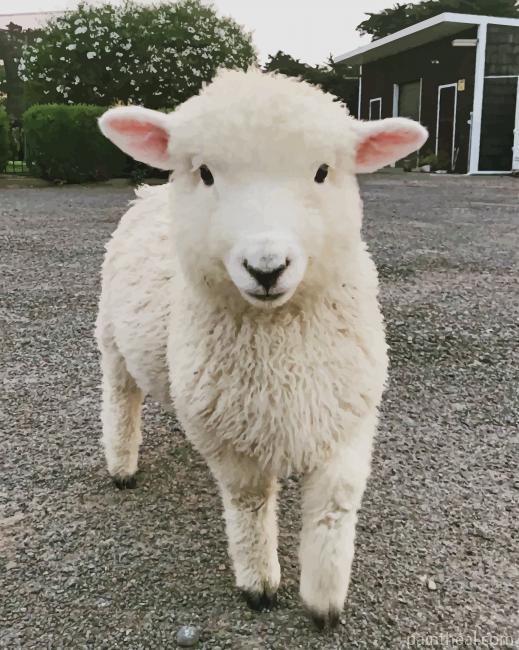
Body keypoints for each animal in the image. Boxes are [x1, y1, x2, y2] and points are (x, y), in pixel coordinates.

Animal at [96, 68, 427, 628]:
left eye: (322, 172)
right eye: (206, 173)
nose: (266, 267)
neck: (281, 347)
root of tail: (146, 191)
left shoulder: (347, 415)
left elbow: (334, 507)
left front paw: (324, 601)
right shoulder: (233, 443)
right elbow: (249, 505)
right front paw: (259, 584)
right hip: (112, 341)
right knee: (121, 400)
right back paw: (122, 466)